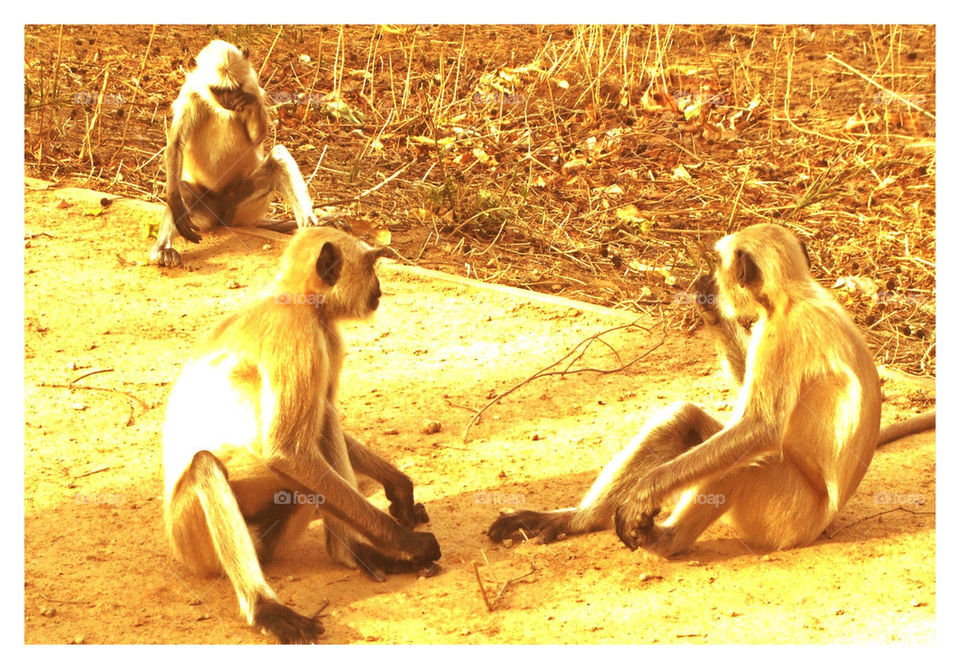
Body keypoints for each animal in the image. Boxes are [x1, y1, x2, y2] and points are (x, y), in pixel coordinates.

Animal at [151, 40, 319, 268]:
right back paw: (163, 249)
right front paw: (175, 205)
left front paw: (248, 103)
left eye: (236, 88)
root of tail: (220, 215)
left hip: (240, 205)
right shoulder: (189, 96)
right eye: (219, 90)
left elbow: (257, 136)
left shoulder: (253, 87)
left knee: (279, 158)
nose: (231, 100)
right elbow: (176, 144)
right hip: (204, 208)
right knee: (183, 190)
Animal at [162, 226, 440, 643]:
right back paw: (267, 607)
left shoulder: (327, 337)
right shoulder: (302, 336)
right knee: (205, 466)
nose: (379, 289)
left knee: (322, 417)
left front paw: (398, 485)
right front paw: (408, 543)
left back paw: (353, 553)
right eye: (371, 266)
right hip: (191, 537)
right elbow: (285, 452)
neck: (296, 300)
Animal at [488, 224, 935, 556]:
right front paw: (711, 308)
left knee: (746, 461)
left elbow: (758, 428)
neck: (794, 296)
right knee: (685, 421)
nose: (708, 278)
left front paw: (640, 498)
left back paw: (663, 541)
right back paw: (574, 520)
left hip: (787, 518)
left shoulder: (782, 336)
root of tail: (822, 523)